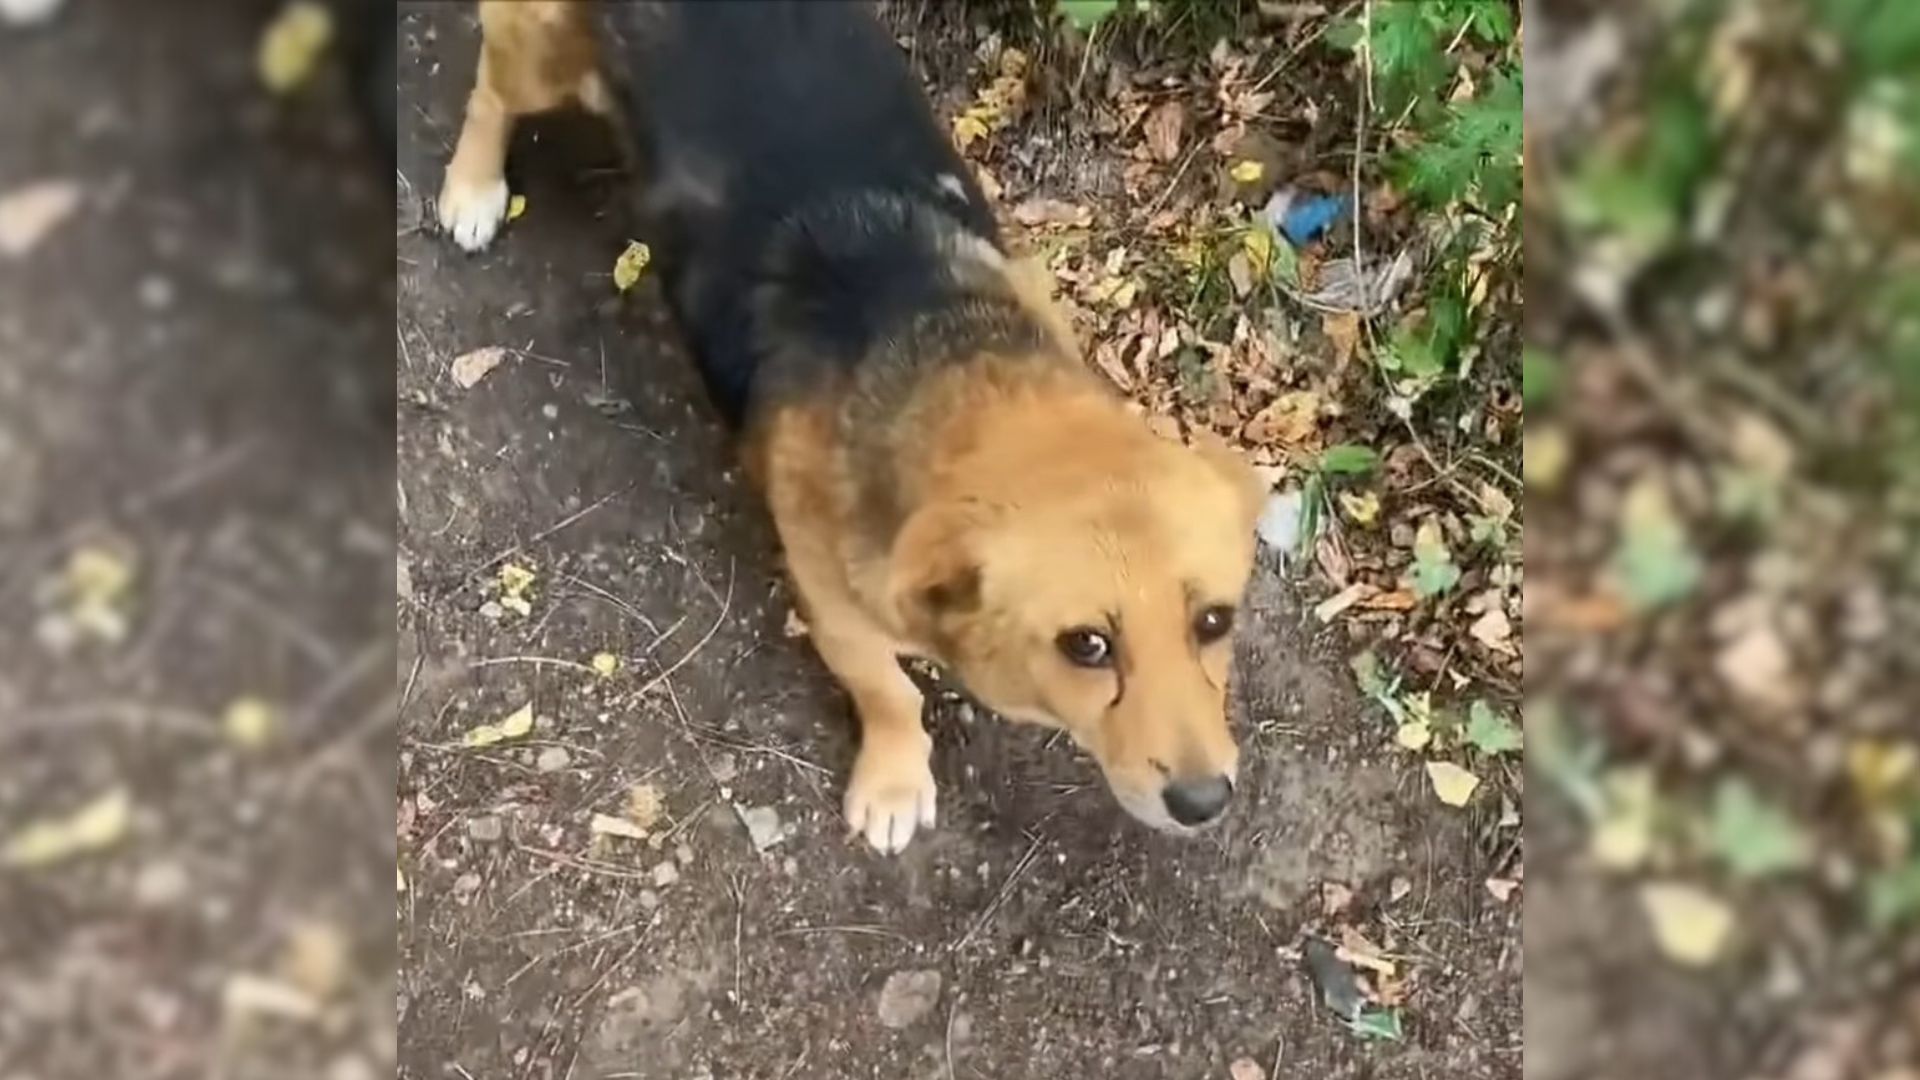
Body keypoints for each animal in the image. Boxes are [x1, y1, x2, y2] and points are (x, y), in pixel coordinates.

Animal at [439, 2, 1267, 849]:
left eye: (1214, 620)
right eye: (1088, 645)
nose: (1205, 801)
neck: (944, 357)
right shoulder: (832, 606)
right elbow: (890, 692)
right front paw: (895, 780)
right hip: (537, 53)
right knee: (490, 88)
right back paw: (472, 188)